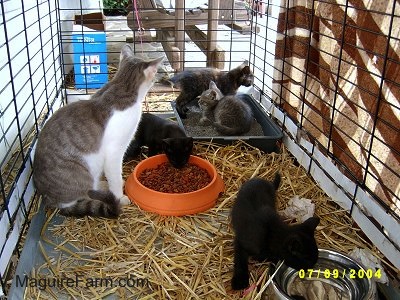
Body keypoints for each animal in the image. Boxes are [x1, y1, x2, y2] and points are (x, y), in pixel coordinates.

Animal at [32, 44, 163, 218]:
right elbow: (115, 177)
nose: (156, 80)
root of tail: (48, 198)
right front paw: (119, 197)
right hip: (82, 173)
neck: (121, 86)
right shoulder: (114, 152)